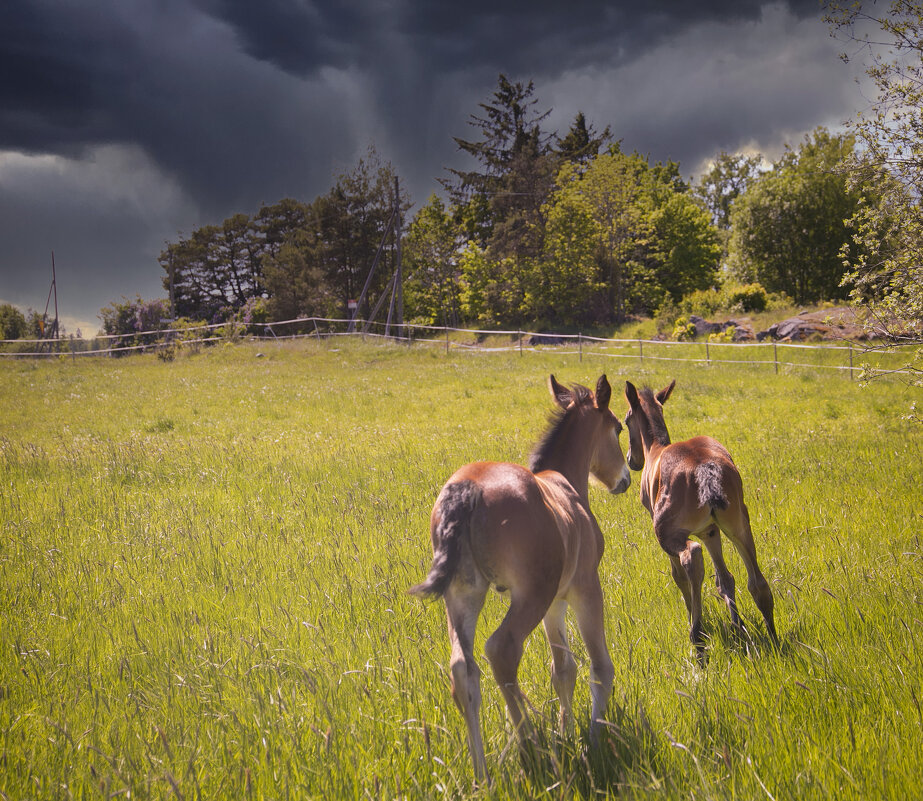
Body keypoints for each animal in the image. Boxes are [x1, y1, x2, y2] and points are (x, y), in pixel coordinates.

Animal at [414, 376, 636, 780]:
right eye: (618, 427)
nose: (625, 478)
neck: (567, 486)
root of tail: (468, 489)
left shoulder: (555, 603)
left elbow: (563, 669)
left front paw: (566, 731)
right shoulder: (583, 588)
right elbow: (599, 666)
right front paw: (593, 741)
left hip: (464, 595)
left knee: (463, 668)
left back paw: (483, 774)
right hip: (530, 595)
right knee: (501, 649)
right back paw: (529, 743)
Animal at [620, 382, 780, 664]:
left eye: (627, 420)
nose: (632, 460)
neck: (656, 450)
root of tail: (705, 468)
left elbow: (679, 577)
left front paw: (692, 616)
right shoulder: (710, 531)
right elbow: (725, 579)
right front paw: (737, 626)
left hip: (668, 534)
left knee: (691, 558)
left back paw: (698, 639)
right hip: (739, 525)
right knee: (757, 583)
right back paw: (772, 637)